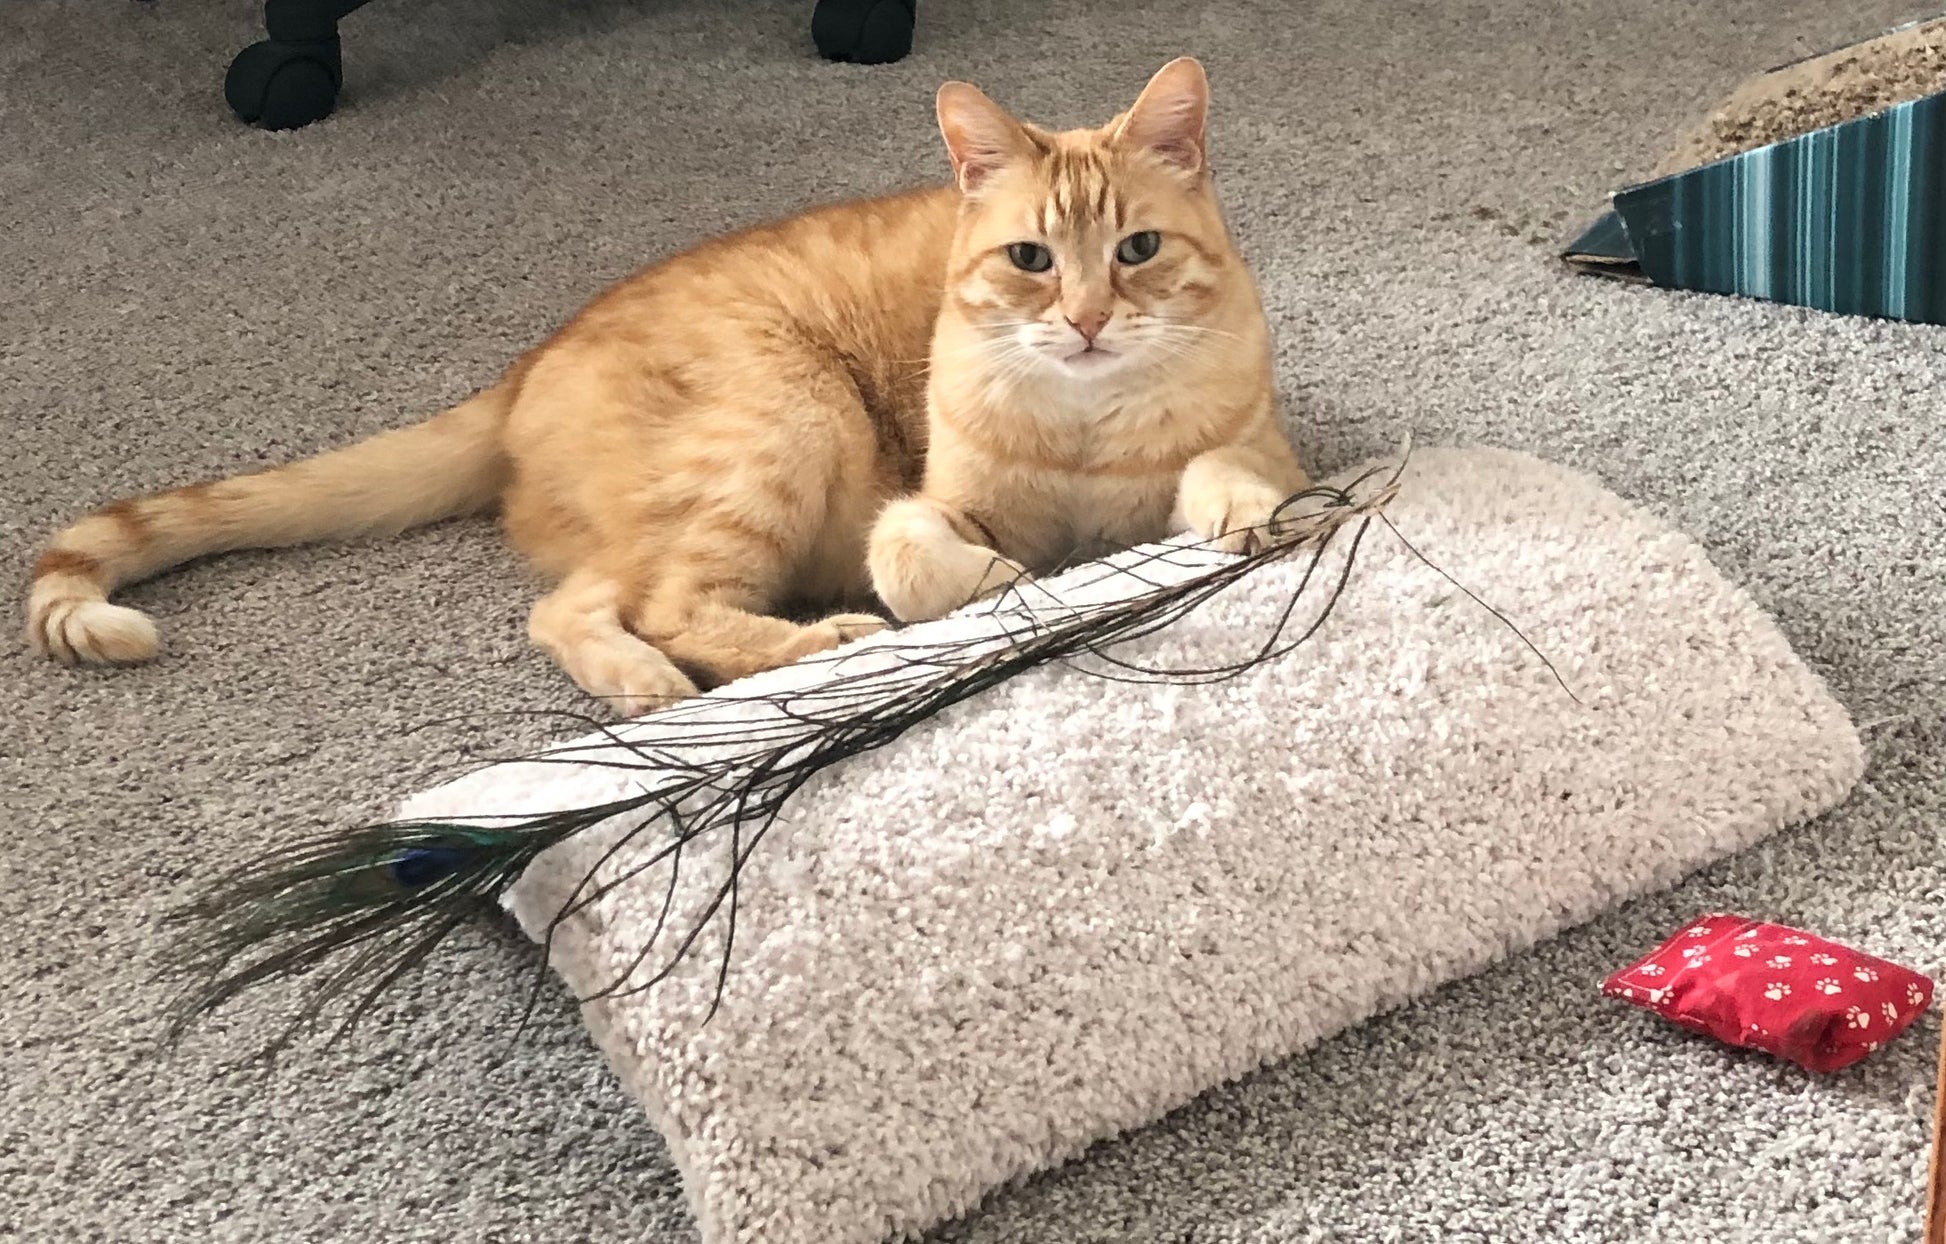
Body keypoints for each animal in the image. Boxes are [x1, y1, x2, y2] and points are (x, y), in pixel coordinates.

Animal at [22, 58, 1307, 716]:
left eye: (1135, 250)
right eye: (1031, 260)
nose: (1086, 321)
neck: (1085, 428)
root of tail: (521, 369)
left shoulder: (1258, 443)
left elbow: (1227, 469)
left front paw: (1237, 514)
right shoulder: (927, 504)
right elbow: (924, 555)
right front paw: (1002, 586)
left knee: (582, 604)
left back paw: (643, 686)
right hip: (779, 425)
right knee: (666, 603)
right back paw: (790, 647)